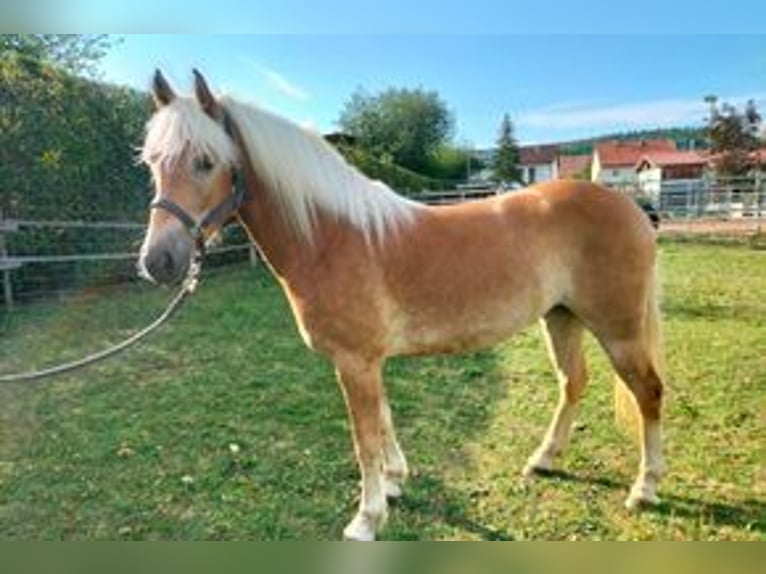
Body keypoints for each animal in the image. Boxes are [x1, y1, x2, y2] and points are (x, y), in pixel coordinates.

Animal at [138, 70, 664, 544]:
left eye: (205, 161)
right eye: (151, 162)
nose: (158, 262)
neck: (330, 237)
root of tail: (633, 209)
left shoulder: (354, 362)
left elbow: (364, 439)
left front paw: (366, 519)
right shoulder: (369, 362)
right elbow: (385, 420)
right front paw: (393, 484)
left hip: (618, 330)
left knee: (649, 392)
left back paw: (644, 489)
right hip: (561, 318)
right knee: (573, 383)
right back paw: (544, 460)